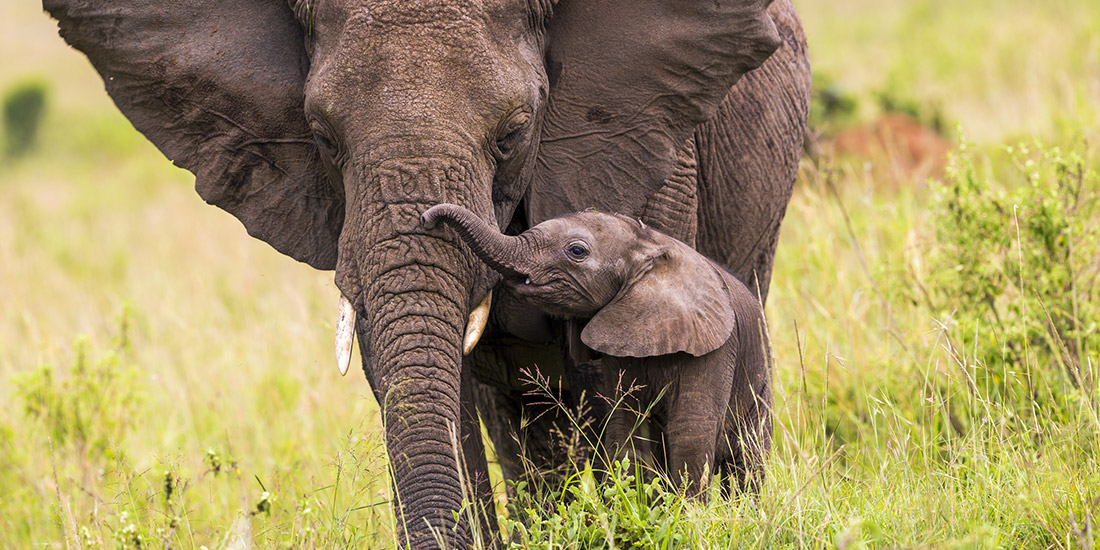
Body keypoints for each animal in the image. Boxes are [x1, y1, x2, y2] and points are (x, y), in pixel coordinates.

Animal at [422, 204, 772, 496]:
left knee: (747, 461)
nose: (427, 219)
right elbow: (624, 425)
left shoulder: (714, 350)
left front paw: (686, 516)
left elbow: (691, 431)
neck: (650, 246)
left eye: (576, 251)